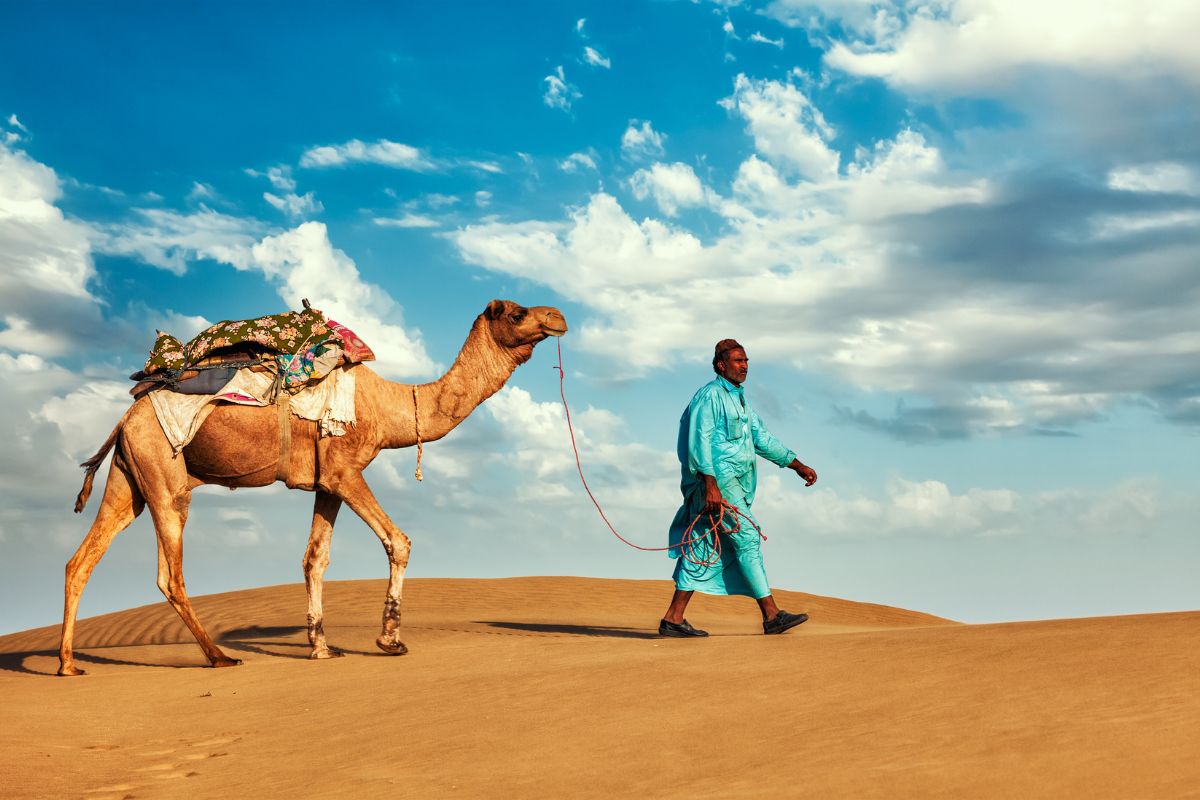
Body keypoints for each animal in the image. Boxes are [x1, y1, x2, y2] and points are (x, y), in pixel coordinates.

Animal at [62, 299, 571, 676]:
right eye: (518, 313)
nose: (559, 316)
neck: (390, 407)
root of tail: (124, 419)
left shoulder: (327, 481)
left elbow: (315, 559)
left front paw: (321, 646)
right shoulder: (346, 469)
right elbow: (398, 541)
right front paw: (390, 640)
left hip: (130, 478)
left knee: (81, 560)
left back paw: (69, 664)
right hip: (164, 472)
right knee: (170, 573)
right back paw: (220, 657)